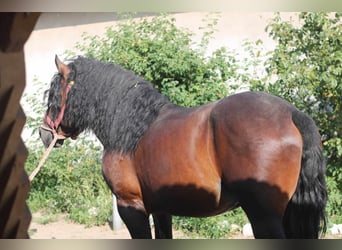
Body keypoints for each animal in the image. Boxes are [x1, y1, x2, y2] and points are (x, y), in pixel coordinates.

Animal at [38, 55, 328, 239]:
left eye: (53, 95)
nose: (44, 133)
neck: (133, 127)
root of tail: (291, 113)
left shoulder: (130, 206)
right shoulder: (161, 209)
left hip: (264, 215)